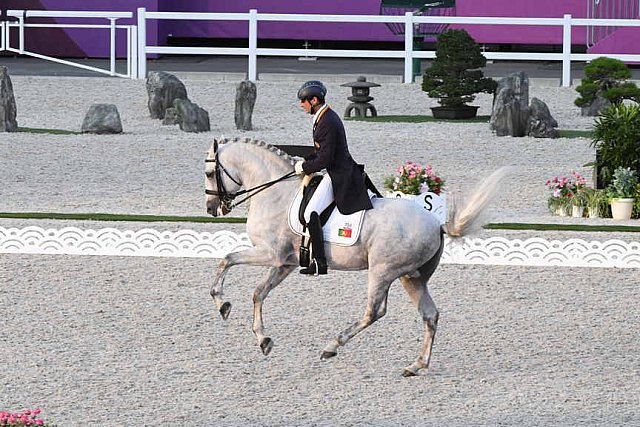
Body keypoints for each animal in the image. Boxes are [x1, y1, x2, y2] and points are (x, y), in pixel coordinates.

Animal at [205, 139, 504, 376]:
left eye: (209, 173)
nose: (211, 208)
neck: (275, 193)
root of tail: (437, 224)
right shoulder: (285, 263)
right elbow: (258, 293)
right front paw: (263, 340)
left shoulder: (270, 254)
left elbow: (227, 259)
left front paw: (222, 304)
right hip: (412, 277)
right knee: (430, 315)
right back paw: (416, 365)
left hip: (382, 271)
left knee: (374, 311)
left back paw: (331, 347)